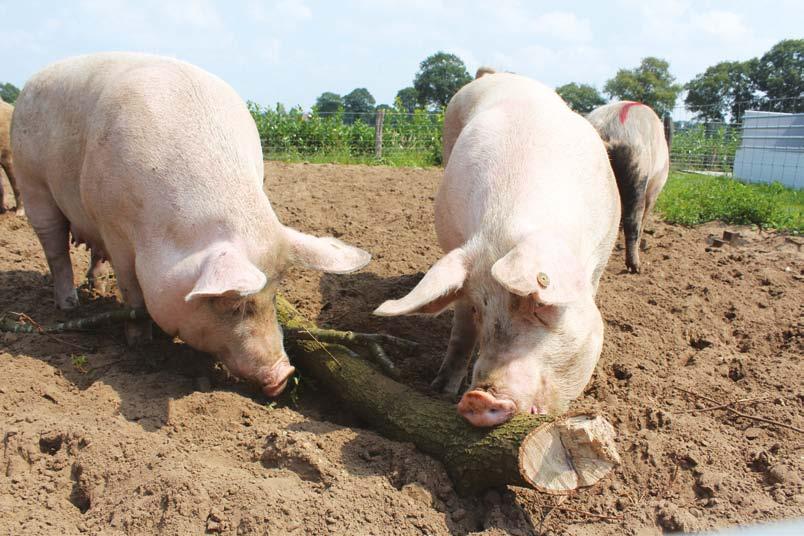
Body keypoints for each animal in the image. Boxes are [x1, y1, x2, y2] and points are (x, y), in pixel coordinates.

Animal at [12, 53, 370, 398]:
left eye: (275, 292)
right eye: (231, 302)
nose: (283, 374)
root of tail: (32, 81)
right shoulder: (113, 227)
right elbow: (131, 290)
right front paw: (141, 343)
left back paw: (96, 290)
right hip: (32, 182)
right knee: (55, 248)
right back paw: (69, 305)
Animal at [374, 71, 620, 428]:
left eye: (539, 305)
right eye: (481, 309)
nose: (479, 398)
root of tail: (491, 74)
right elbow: (462, 330)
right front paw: (442, 390)